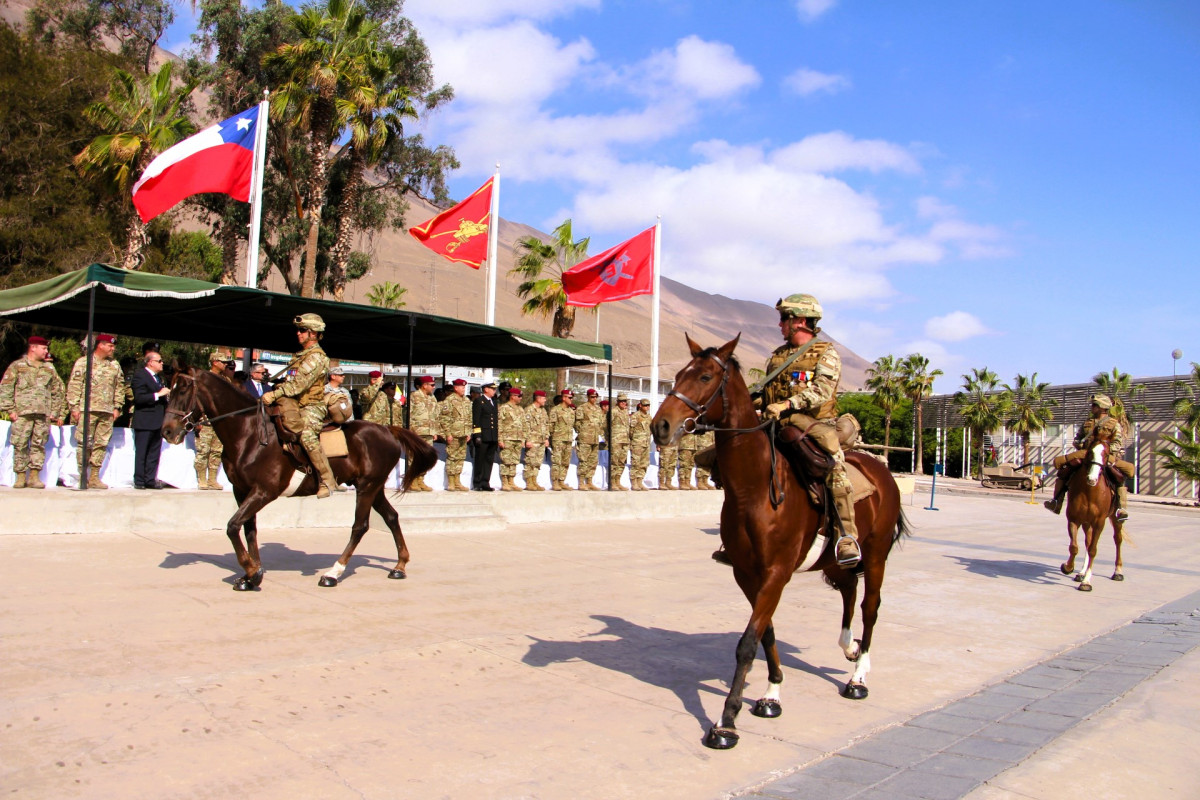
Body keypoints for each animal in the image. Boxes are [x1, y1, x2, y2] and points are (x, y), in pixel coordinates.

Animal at [162, 369, 436, 587]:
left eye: (183, 390)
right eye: (169, 391)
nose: (167, 431)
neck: (248, 433)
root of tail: (388, 429)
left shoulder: (264, 491)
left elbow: (232, 526)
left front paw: (250, 570)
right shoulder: (242, 491)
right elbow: (248, 529)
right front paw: (252, 574)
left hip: (367, 487)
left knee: (360, 526)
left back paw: (333, 573)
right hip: (374, 488)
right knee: (391, 517)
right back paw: (399, 566)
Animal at [652, 335, 902, 753]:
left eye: (705, 376)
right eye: (678, 374)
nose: (661, 425)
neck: (753, 490)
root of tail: (881, 470)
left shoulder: (776, 573)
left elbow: (747, 642)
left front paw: (726, 722)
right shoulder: (746, 573)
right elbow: (766, 632)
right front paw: (771, 696)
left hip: (878, 554)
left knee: (869, 607)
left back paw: (858, 676)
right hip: (834, 560)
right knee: (849, 589)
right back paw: (848, 646)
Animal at [1060, 434, 1123, 592]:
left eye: (1106, 454)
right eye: (1089, 452)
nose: (1092, 478)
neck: (1089, 492)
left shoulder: (1099, 522)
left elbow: (1093, 550)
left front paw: (1087, 582)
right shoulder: (1073, 519)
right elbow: (1074, 547)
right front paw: (1068, 567)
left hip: (1115, 518)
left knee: (1118, 540)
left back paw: (1118, 571)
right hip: (1086, 523)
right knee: (1087, 542)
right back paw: (1081, 573)